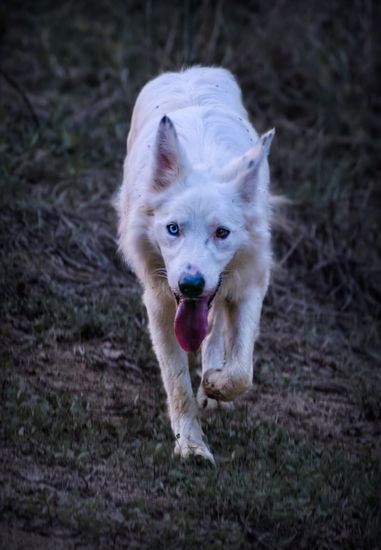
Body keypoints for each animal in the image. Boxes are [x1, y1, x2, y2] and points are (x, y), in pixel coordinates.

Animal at [116, 66, 274, 466]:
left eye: (222, 232)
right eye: (173, 229)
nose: (191, 284)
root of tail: (189, 71)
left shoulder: (250, 285)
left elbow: (241, 372)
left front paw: (215, 383)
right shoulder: (159, 303)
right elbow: (177, 385)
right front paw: (191, 445)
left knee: (217, 329)